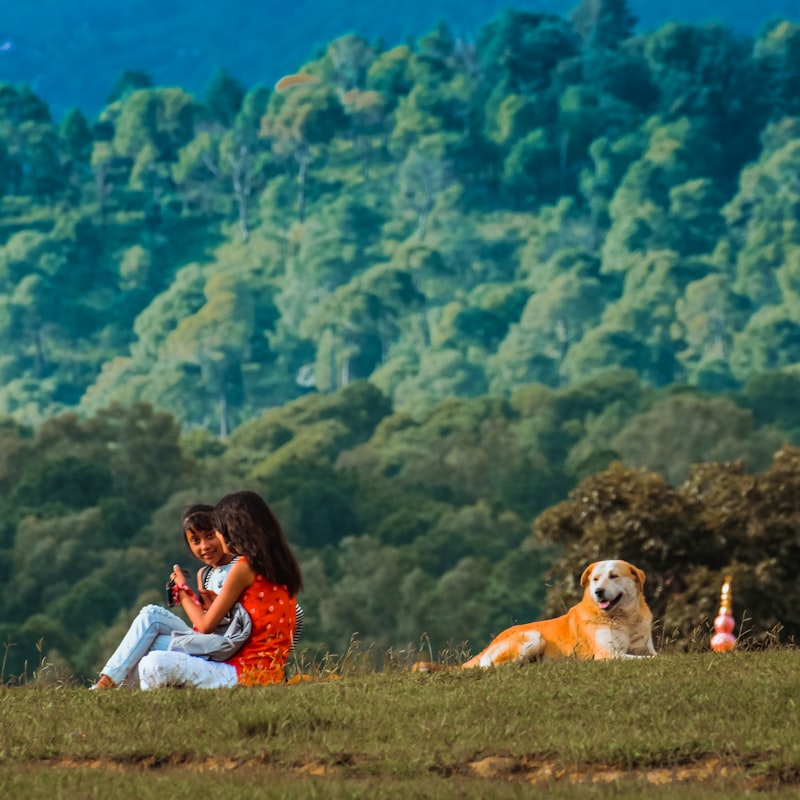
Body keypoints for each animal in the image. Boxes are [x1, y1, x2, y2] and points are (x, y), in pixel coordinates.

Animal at [412, 560, 656, 672]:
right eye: (595, 579)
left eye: (614, 576)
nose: (598, 592)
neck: (625, 619)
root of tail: (491, 642)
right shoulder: (608, 654)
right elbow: (647, 659)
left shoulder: (643, 646)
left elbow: (653, 654)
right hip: (533, 636)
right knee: (493, 666)